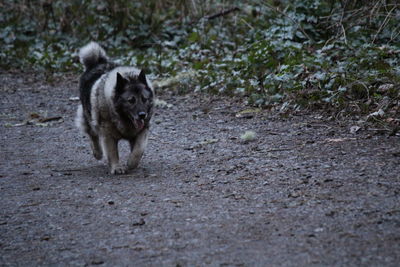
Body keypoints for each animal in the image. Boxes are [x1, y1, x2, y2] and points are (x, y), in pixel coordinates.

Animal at [76, 41, 154, 176]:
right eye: (131, 100)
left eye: (144, 99)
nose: (142, 115)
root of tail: (97, 62)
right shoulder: (108, 135)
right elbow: (112, 153)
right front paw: (117, 168)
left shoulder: (142, 131)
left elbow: (138, 150)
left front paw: (131, 163)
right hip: (89, 117)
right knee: (92, 134)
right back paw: (97, 152)